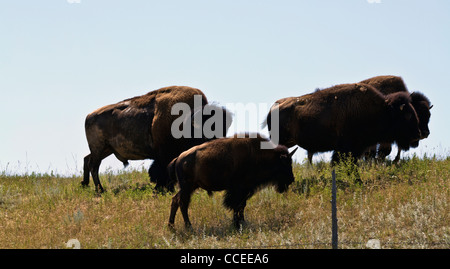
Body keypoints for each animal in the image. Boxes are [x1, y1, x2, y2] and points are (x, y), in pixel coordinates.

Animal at [81, 85, 234, 192]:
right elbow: (162, 170)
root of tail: (89, 116)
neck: (187, 120)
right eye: (207, 131)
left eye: (224, 130)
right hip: (99, 148)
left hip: (106, 149)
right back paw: (100, 190)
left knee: (87, 159)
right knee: (94, 165)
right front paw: (163, 188)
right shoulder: (164, 154)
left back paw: (85, 185)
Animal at [167, 133, 298, 228]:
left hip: (191, 187)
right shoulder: (239, 189)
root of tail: (179, 158)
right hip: (187, 187)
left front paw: (242, 222)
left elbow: (241, 205)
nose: (291, 179)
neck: (258, 154)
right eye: (285, 163)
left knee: (175, 200)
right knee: (183, 203)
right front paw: (237, 224)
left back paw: (171, 226)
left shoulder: (245, 190)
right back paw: (188, 226)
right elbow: (237, 205)